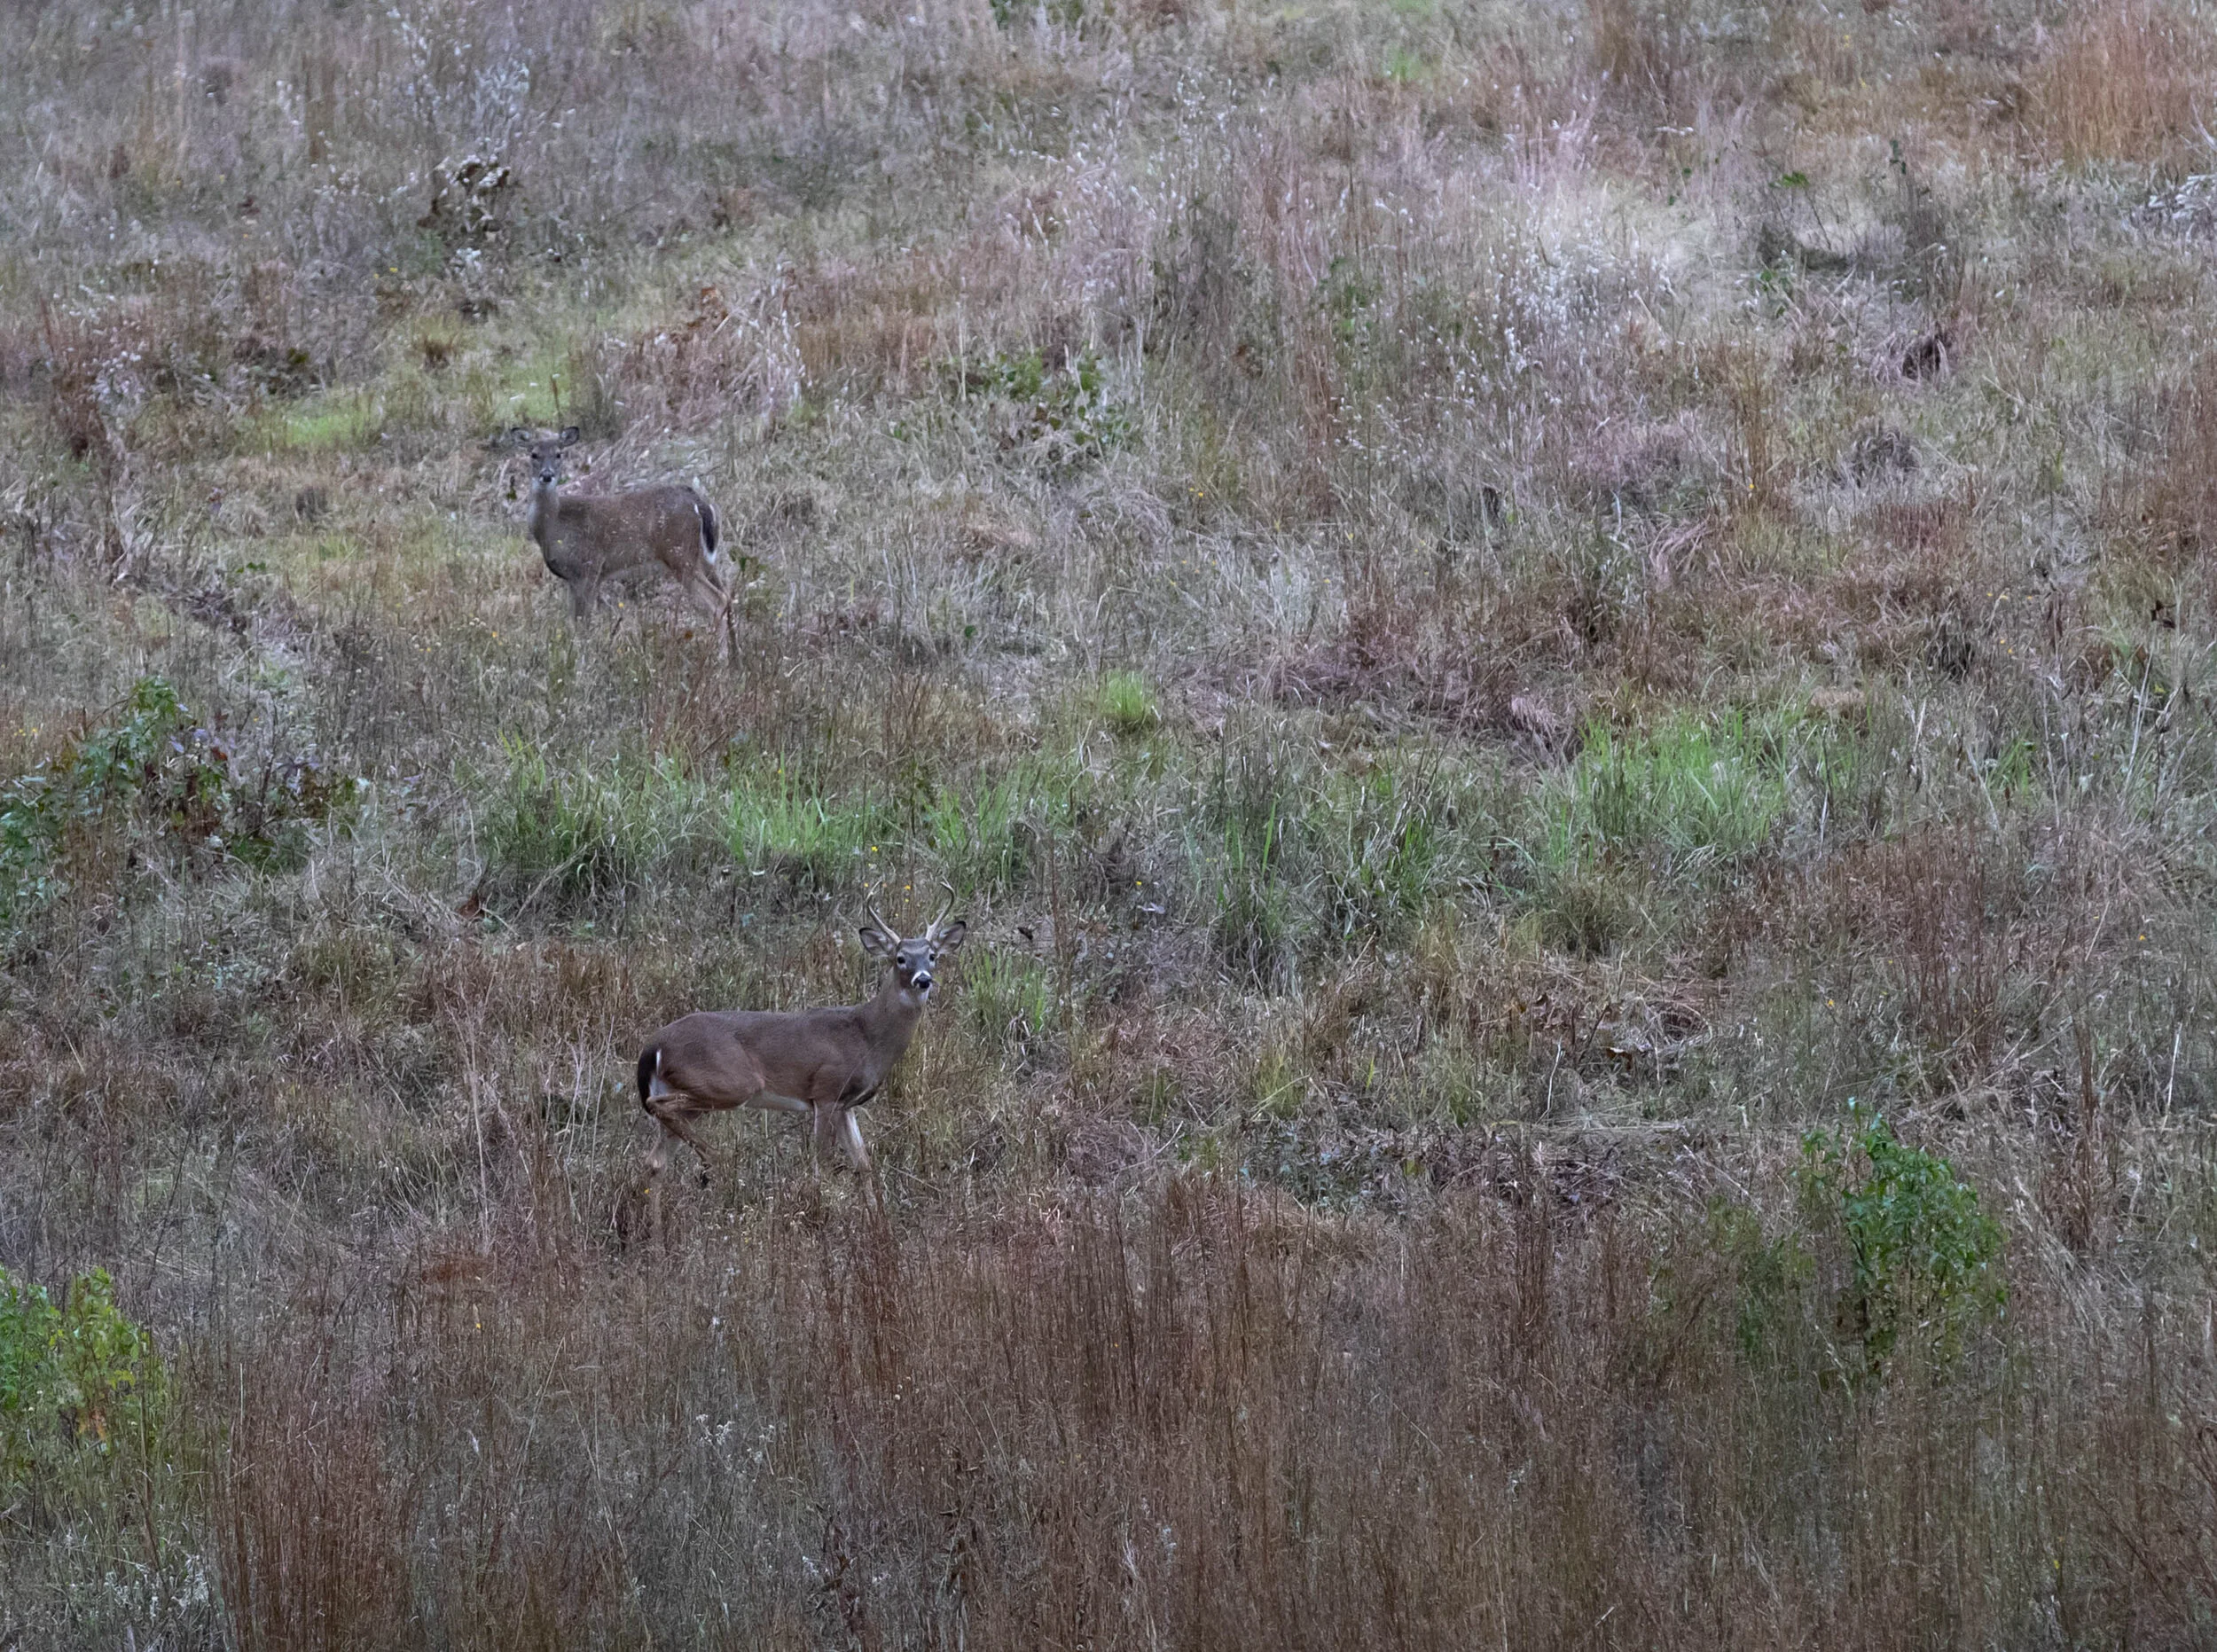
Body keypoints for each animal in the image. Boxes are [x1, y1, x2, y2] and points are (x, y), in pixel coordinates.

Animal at [498, 426, 733, 649]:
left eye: (559, 454)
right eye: (534, 454)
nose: (547, 475)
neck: (554, 525)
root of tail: (699, 503)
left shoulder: (588, 567)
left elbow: (583, 625)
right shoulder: (574, 578)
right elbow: (573, 623)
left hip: (680, 554)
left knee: (718, 600)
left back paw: (720, 657)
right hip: (704, 558)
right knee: (728, 595)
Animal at [634, 891, 968, 1193]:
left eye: (932, 956)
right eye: (900, 958)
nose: (923, 979)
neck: (866, 1035)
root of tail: (653, 1046)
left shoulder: (847, 1104)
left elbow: (863, 1164)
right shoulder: (826, 1091)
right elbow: (822, 1165)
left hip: (688, 1095)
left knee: (654, 1162)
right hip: (728, 1082)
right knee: (657, 1109)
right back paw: (716, 1160)